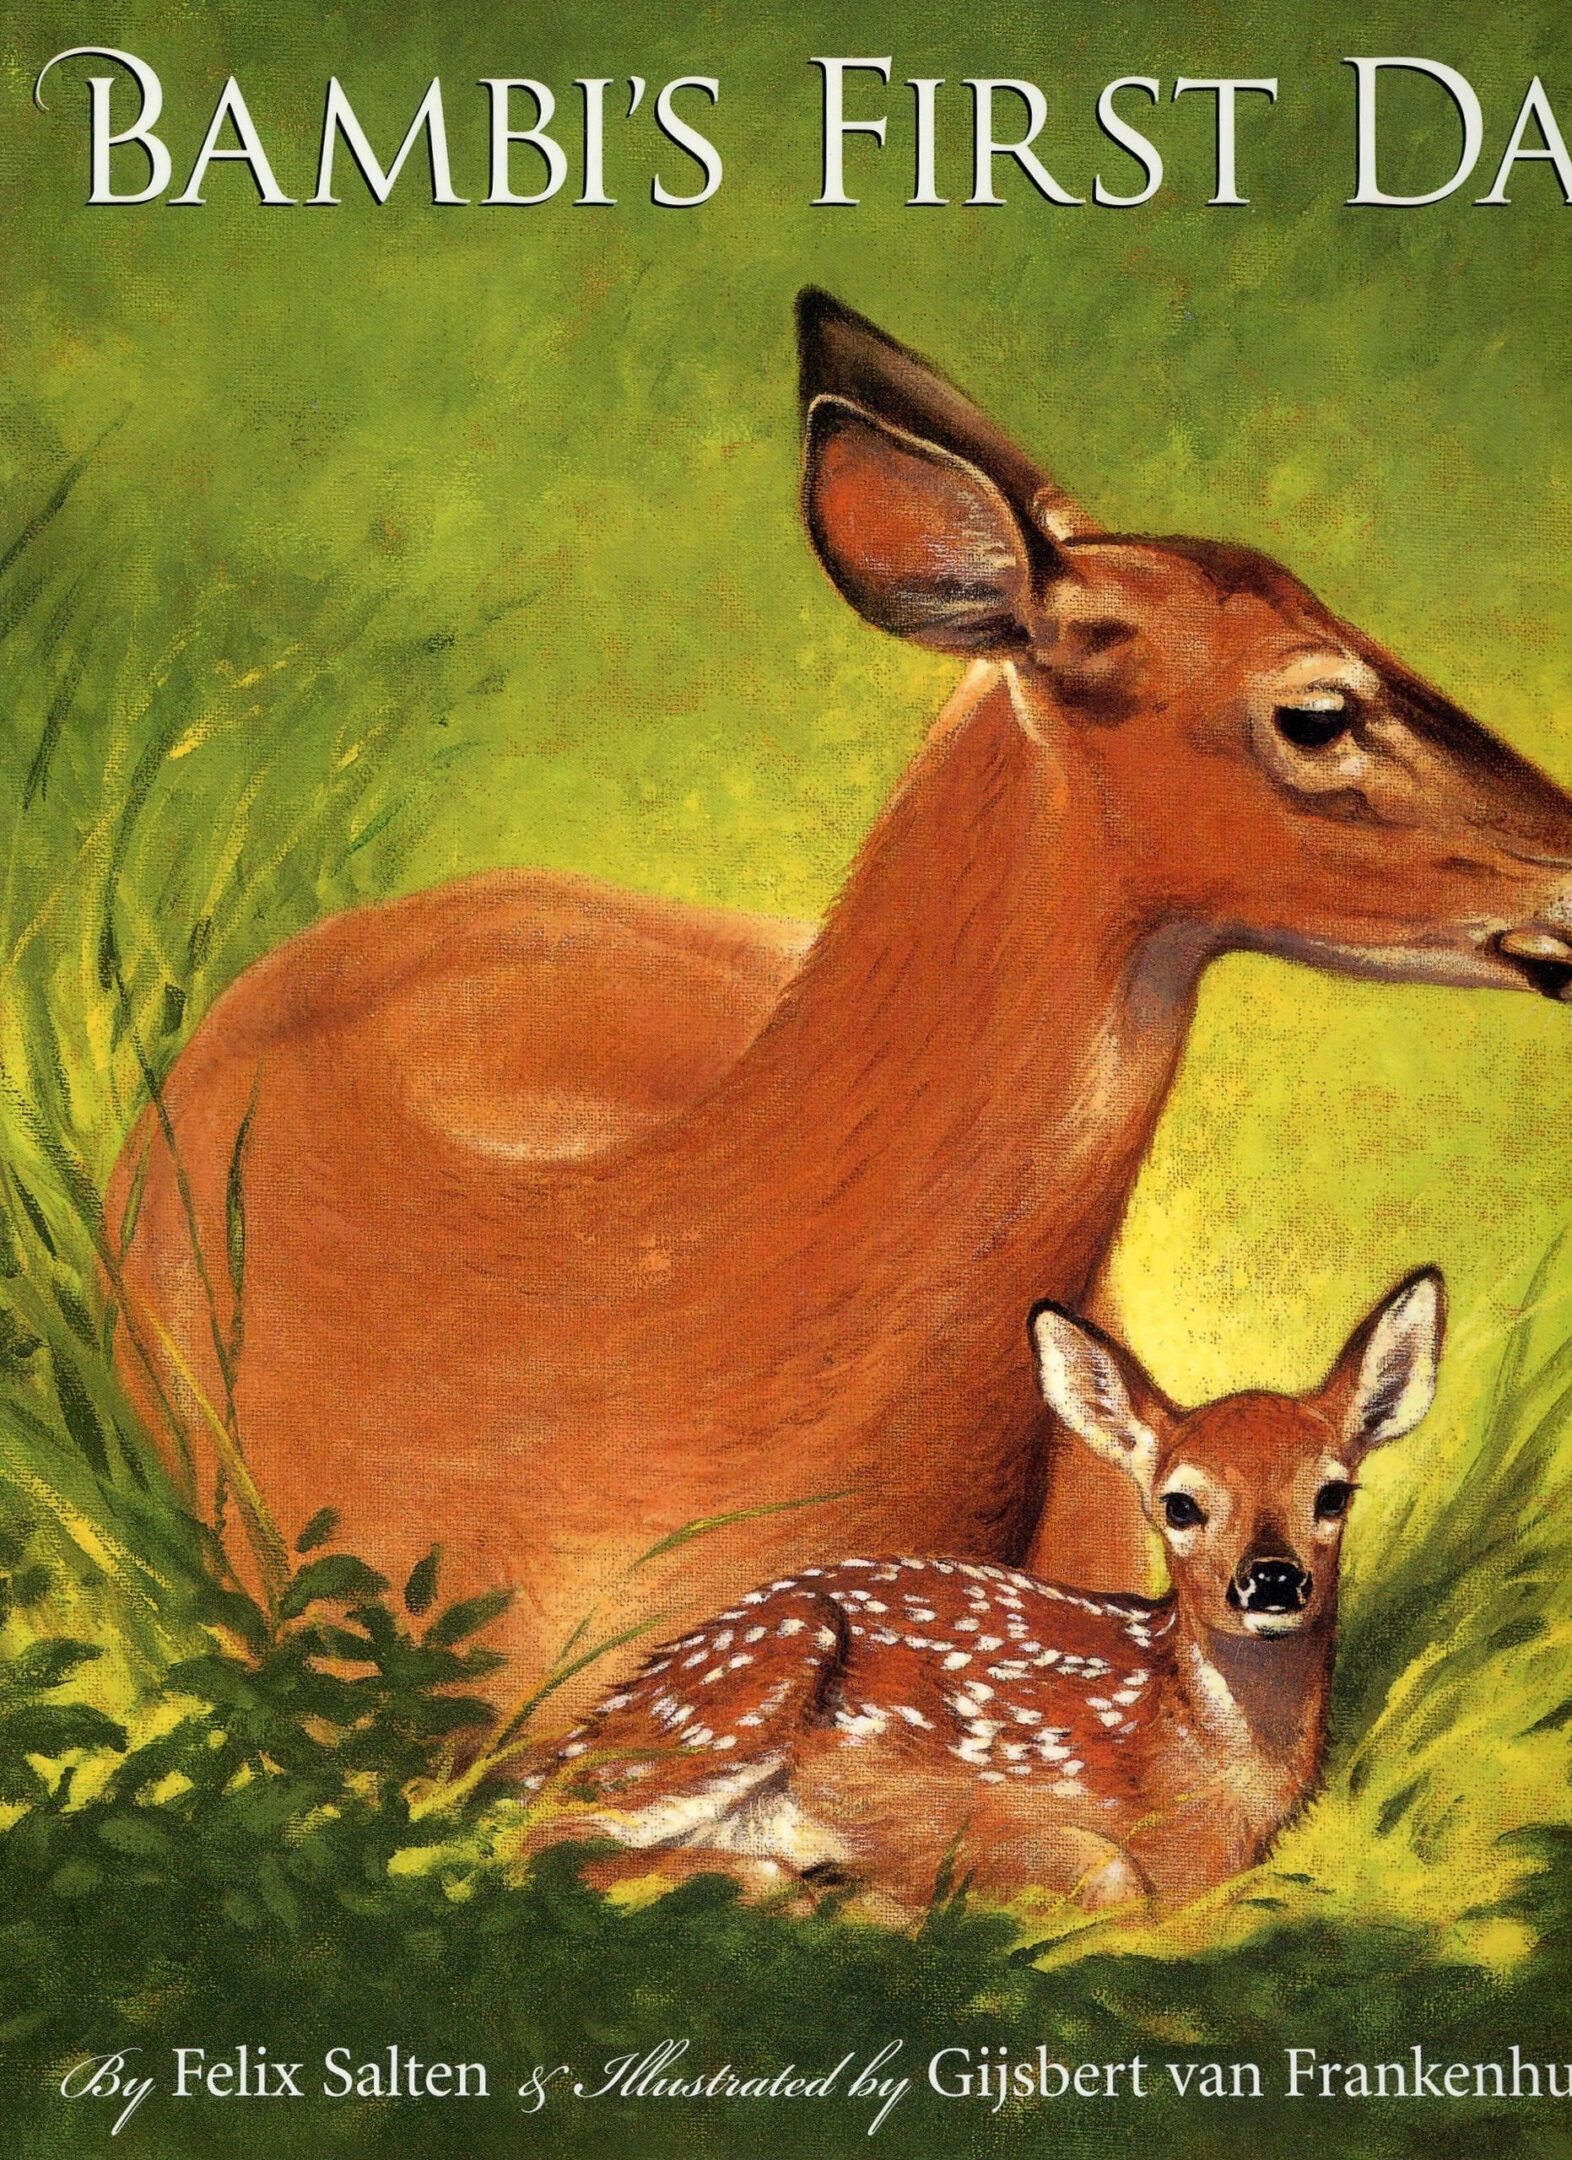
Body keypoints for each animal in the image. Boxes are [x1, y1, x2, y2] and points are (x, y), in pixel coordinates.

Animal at [520, 1270, 1446, 1917]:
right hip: (749, 1686)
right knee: (539, 1838)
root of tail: (577, 1734)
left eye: (1334, 1493)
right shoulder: (981, 1798)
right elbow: (1109, 1876)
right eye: (1180, 1504)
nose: (1273, 1578)